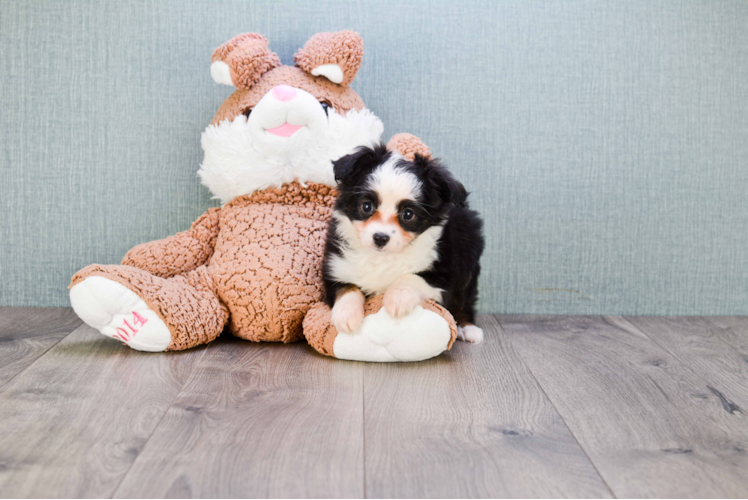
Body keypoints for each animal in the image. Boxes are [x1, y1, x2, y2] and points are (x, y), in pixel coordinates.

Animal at [322, 143, 486, 342]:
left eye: (408, 214)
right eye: (366, 206)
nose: (380, 238)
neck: (382, 258)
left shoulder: (443, 273)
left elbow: (412, 277)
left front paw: (397, 299)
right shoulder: (335, 266)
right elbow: (346, 288)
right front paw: (346, 315)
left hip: (468, 260)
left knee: (464, 298)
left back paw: (468, 328)